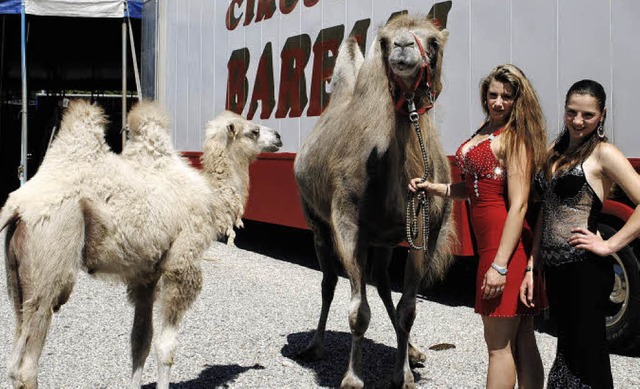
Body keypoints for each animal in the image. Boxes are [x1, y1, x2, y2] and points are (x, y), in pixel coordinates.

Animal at [0, 101, 280, 388]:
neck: (211, 200)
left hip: (17, 280)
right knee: (27, 364)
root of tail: (17, 209)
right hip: (51, 261)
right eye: (254, 131)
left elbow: (140, 341)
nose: (279, 137)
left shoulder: (145, 275)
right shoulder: (181, 264)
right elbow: (166, 347)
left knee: (14, 357)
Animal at [294, 13, 456, 386]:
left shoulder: (425, 230)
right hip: (316, 220)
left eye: (434, 41)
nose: (403, 46)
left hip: (384, 240)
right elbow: (358, 311)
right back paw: (314, 345)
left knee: (382, 282)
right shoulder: (348, 224)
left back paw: (413, 352)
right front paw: (353, 378)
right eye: (383, 41)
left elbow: (408, 308)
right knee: (328, 282)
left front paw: (404, 374)